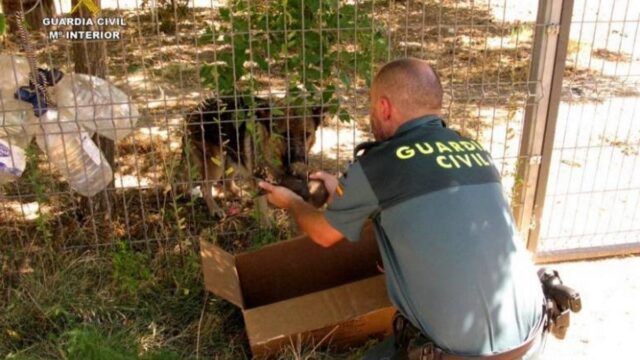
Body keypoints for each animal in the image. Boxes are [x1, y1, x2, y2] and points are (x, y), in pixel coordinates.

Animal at [185, 96, 324, 217]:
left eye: (306, 135)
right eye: (285, 135)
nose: (299, 159)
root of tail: (196, 109)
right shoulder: (258, 182)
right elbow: (263, 210)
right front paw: (267, 228)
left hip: (234, 158)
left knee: (227, 181)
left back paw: (240, 194)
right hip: (217, 163)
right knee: (205, 187)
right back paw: (214, 209)